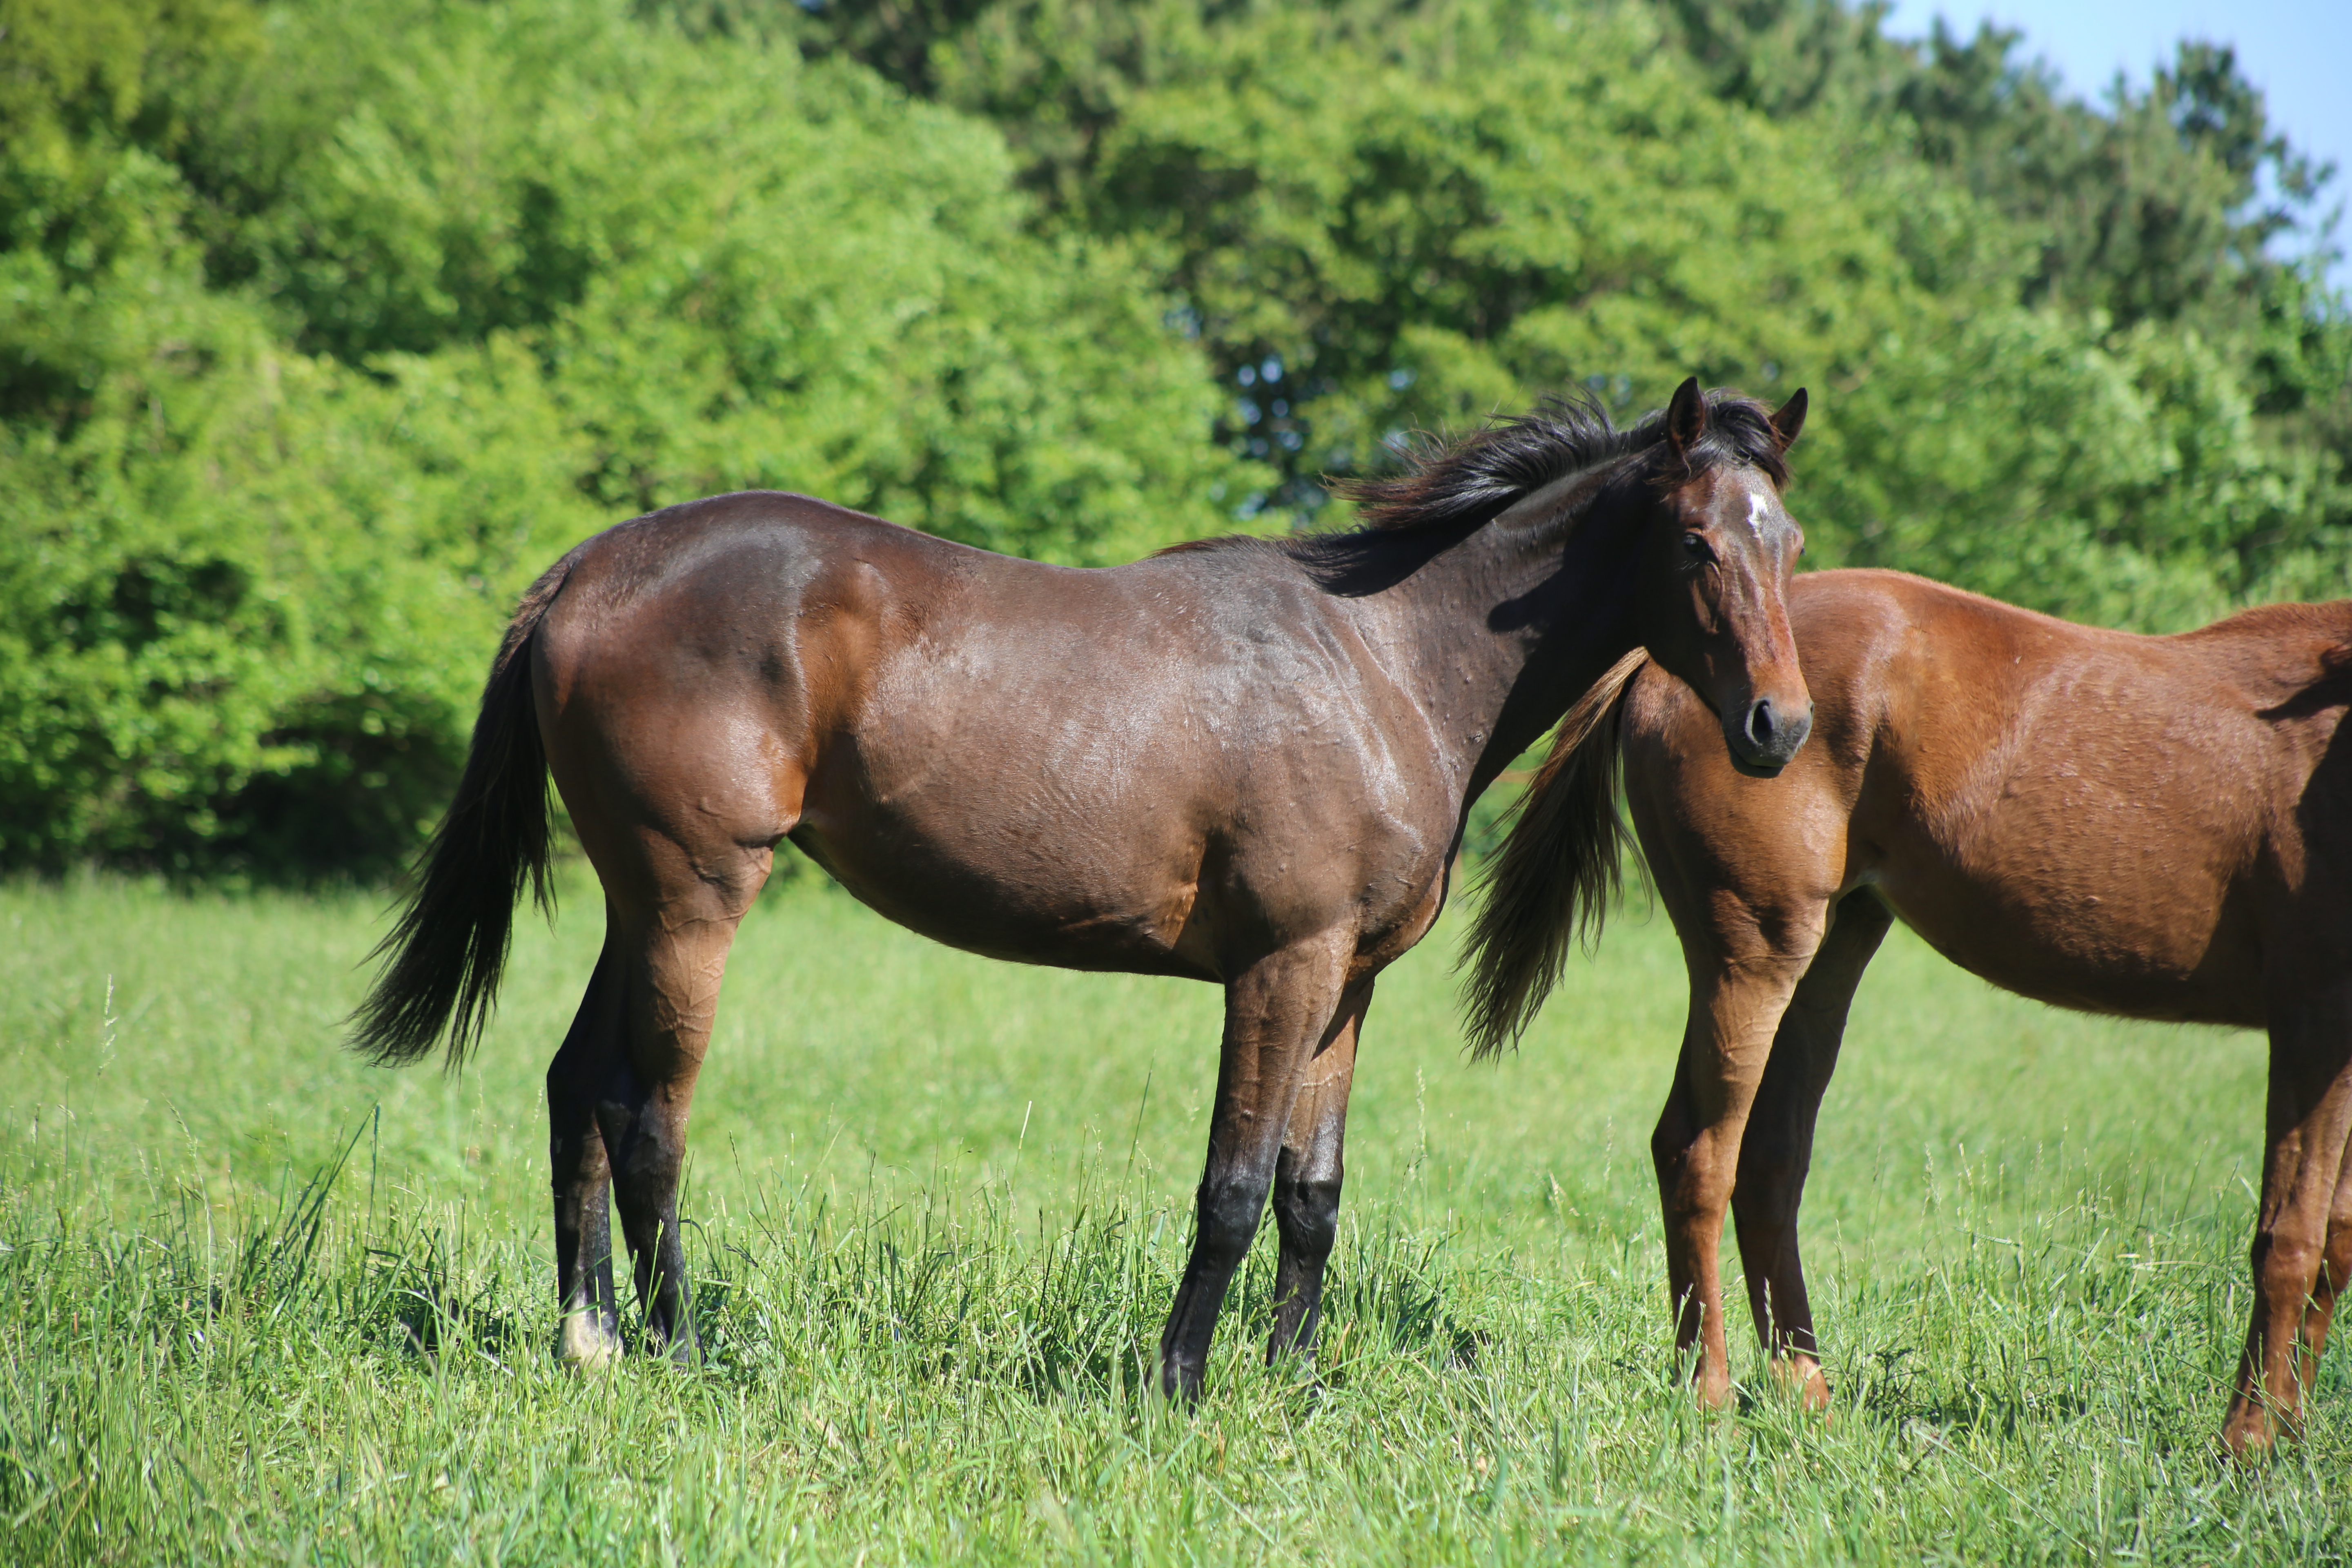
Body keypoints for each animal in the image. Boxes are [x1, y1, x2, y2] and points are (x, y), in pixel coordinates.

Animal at [353, 376, 1815, 1401]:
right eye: (1697, 542)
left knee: (578, 1086)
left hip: (640, 900)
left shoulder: (1346, 983)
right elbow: (1233, 1187)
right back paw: (682, 1346)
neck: (1386, 657)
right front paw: (1178, 1382)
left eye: (1790, 544)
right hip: (696, 896)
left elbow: (1312, 1197)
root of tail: (588, 569)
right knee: (649, 1114)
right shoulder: (1280, 966)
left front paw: (1292, 1386)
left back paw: (589, 1338)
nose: (1779, 728)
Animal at [1468, 571, 2352, 1457]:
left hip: (1830, 954)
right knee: (1698, 1154)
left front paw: (2289, 1436)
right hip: (1752, 956)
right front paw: (2251, 1443)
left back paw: (1807, 1396)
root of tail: (1660, 661)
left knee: (1770, 1164)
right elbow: (2290, 1238)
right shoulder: (2312, 1020)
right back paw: (1709, 1395)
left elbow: (2334, 1242)